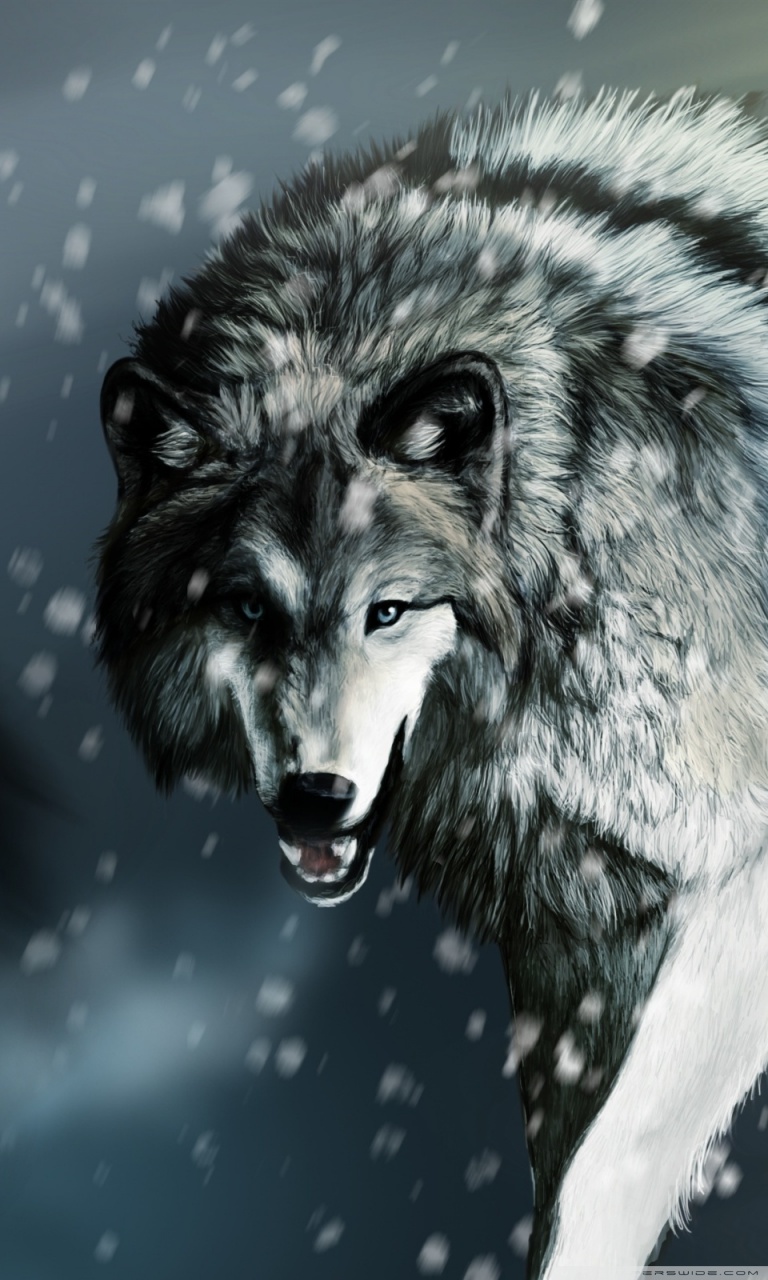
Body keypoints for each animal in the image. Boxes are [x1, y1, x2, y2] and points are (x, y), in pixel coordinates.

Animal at [93, 88, 768, 1276]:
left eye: (390, 609)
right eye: (246, 607)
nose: (315, 797)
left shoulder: (736, 882)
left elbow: (609, 1171)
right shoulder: (571, 935)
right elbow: (567, 1168)